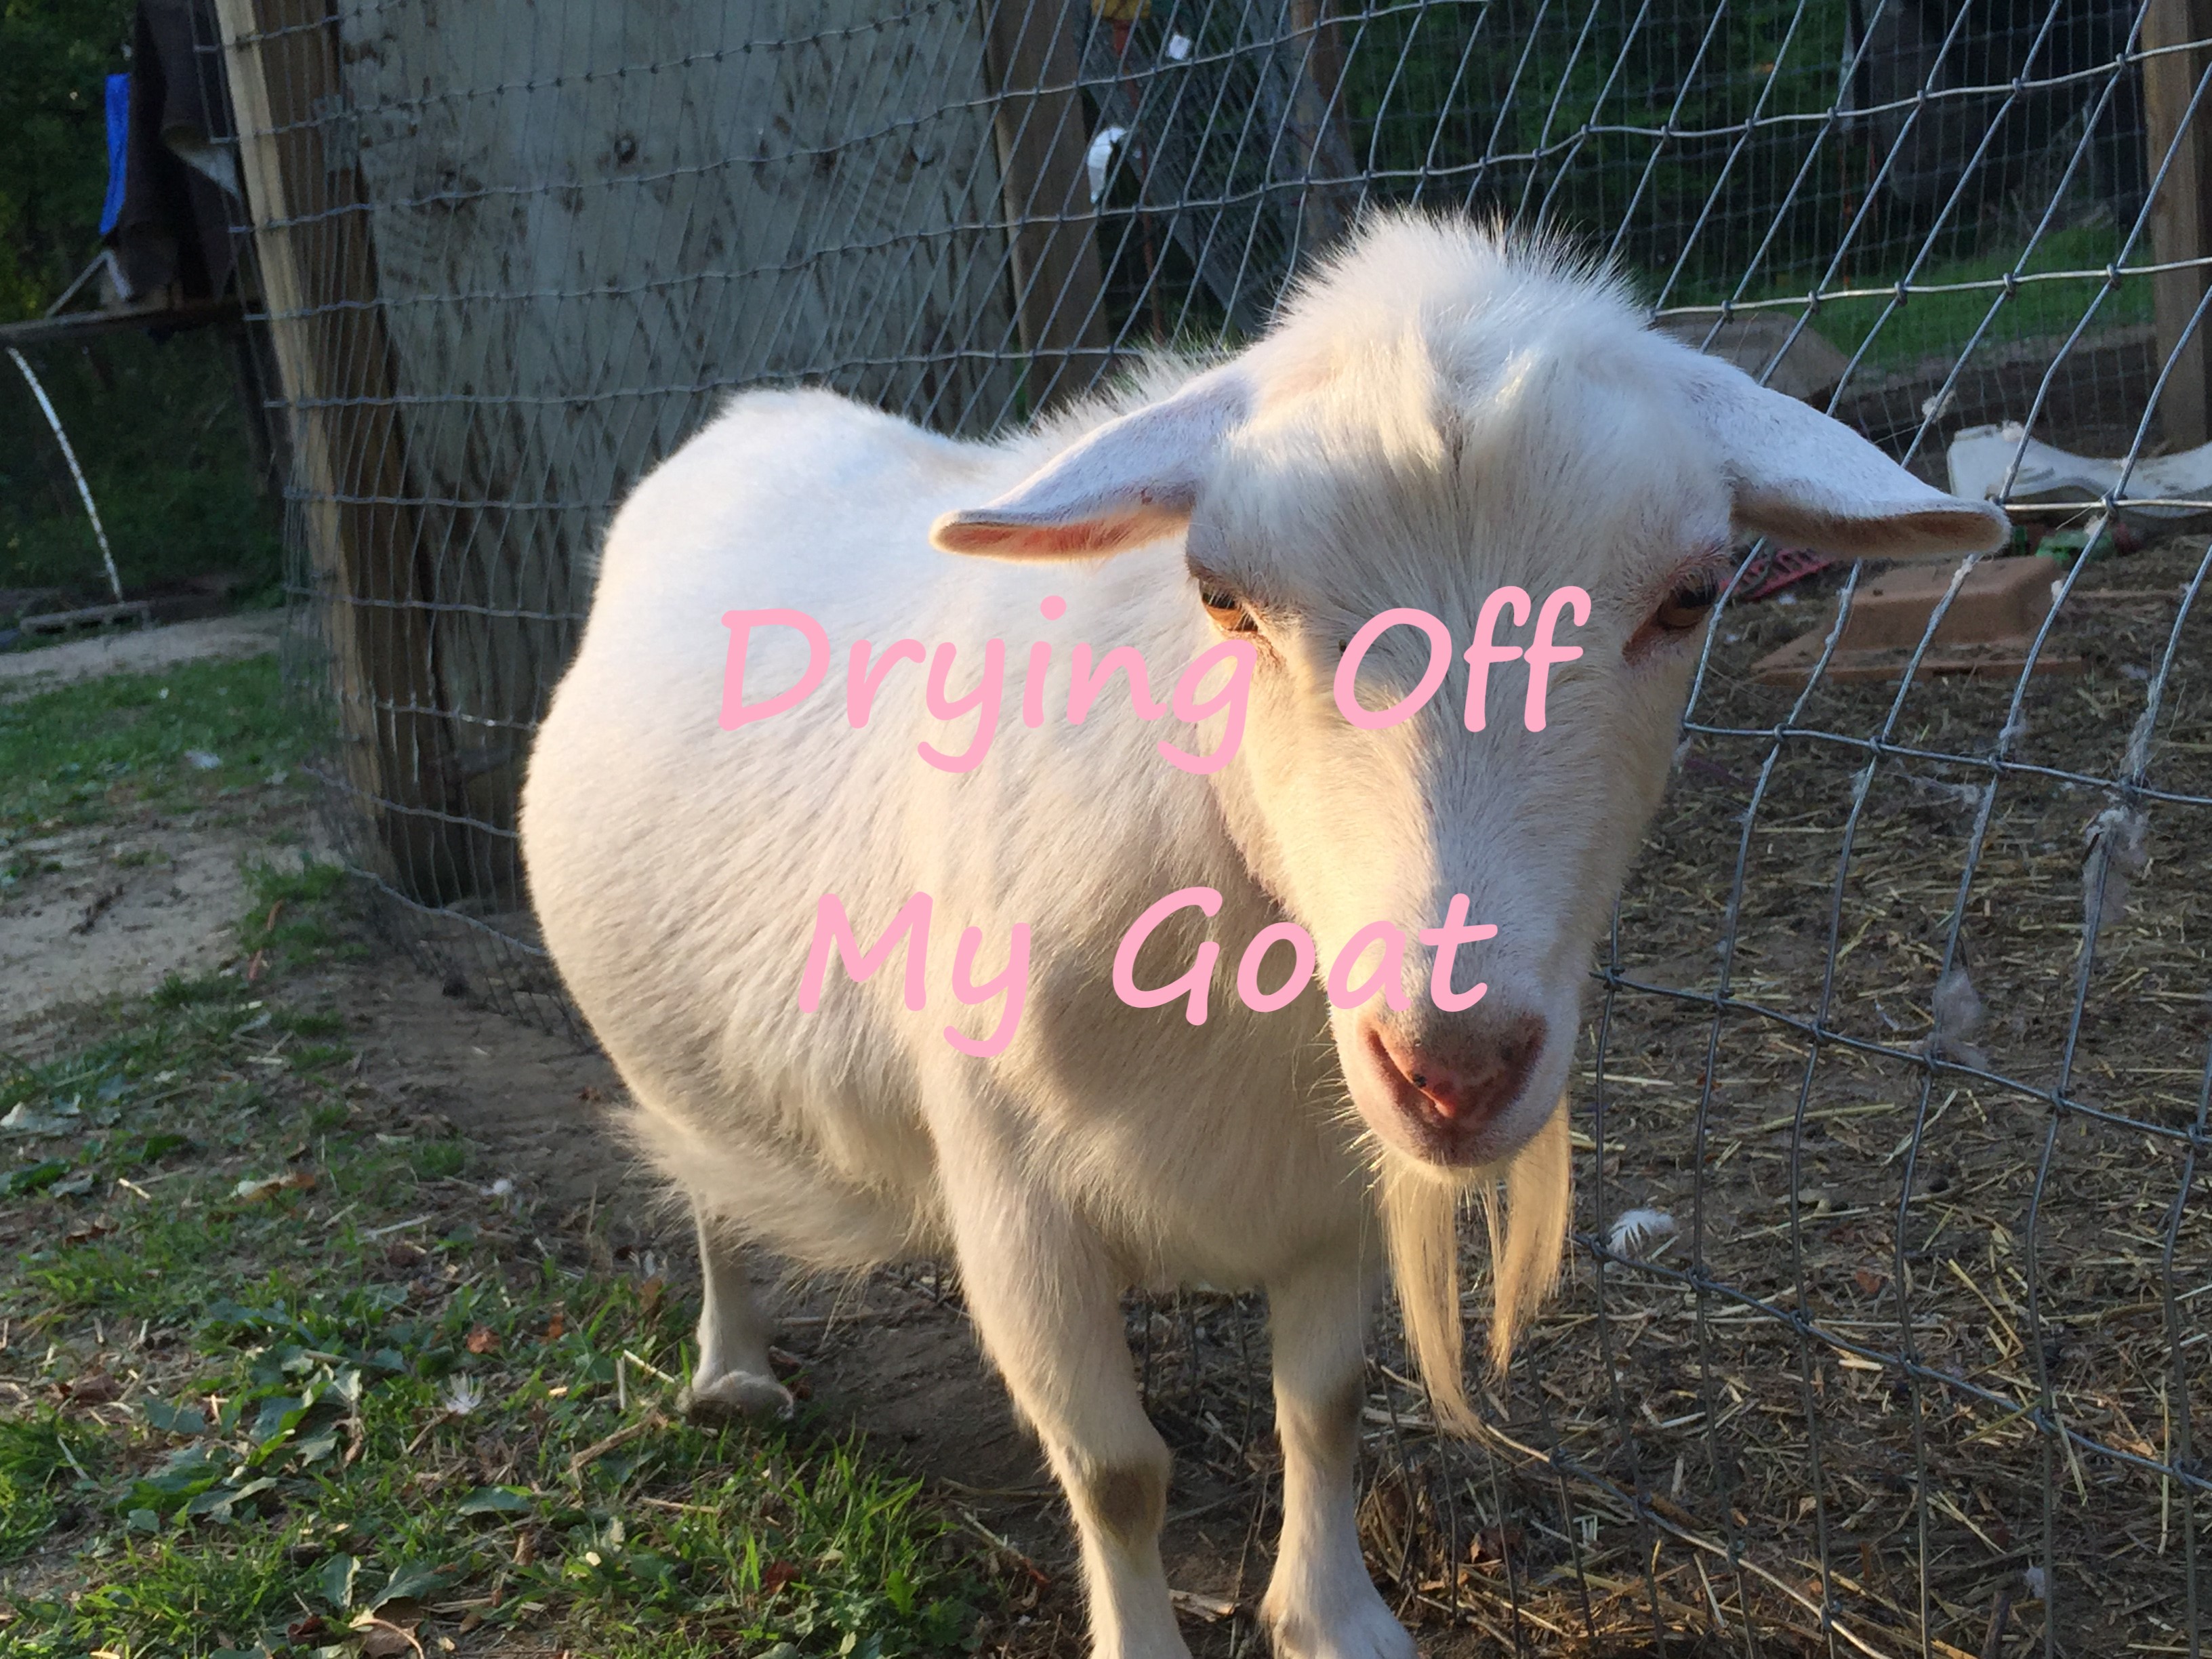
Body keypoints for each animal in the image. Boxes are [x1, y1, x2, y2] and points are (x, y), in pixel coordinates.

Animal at [520, 213, 2006, 1659]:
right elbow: (1116, 1471)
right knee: (703, 1179)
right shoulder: (1009, 1196)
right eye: (1224, 598)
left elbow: (1326, 1405)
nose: (1454, 1066)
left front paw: (1334, 1619)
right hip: (671, 1056)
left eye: (1691, 596)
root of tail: (751, 413)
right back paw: (730, 1370)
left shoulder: (1329, 1181)